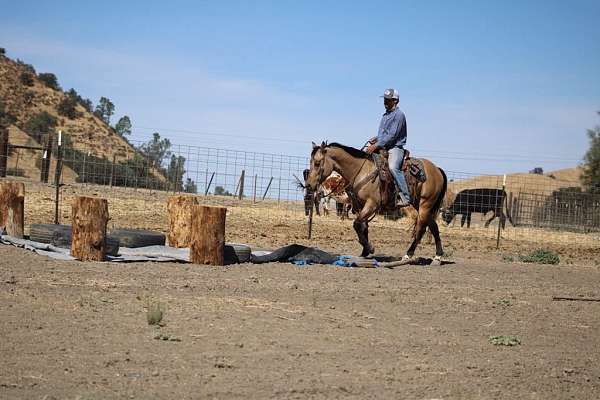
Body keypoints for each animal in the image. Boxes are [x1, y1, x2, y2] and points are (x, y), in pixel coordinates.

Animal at [308, 142, 448, 264]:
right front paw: (364, 251)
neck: (362, 170)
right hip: (420, 205)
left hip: (425, 204)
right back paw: (438, 256)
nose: (309, 185)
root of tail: (437, 169)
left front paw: (370, 248)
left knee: (421, 229)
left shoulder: (372, 204)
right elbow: (363, 226)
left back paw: (408, 254)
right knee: (434, 227)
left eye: (317, 163)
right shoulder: (360, 205)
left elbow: (357, 224)